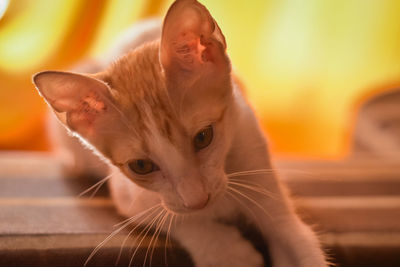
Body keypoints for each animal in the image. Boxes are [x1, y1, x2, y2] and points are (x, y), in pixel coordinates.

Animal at [33, 1, 328, 266]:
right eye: (141, 166)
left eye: (203, 137)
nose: (198, 200)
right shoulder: (130, 195)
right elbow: (172, 216)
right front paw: (227, 252)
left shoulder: (257, 160)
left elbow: (298, 240)